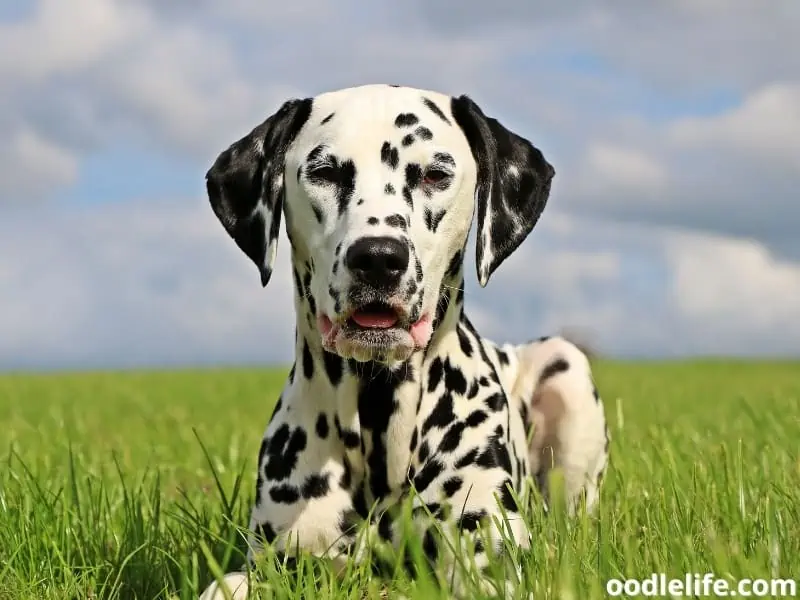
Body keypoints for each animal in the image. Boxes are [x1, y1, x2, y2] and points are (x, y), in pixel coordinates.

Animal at [198, 85, 608, 600]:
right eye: (325, 172)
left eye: (435, 174)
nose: (378, 257)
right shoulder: (275, 563)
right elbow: (227, 584)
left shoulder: (484, 559)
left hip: (566, 366)